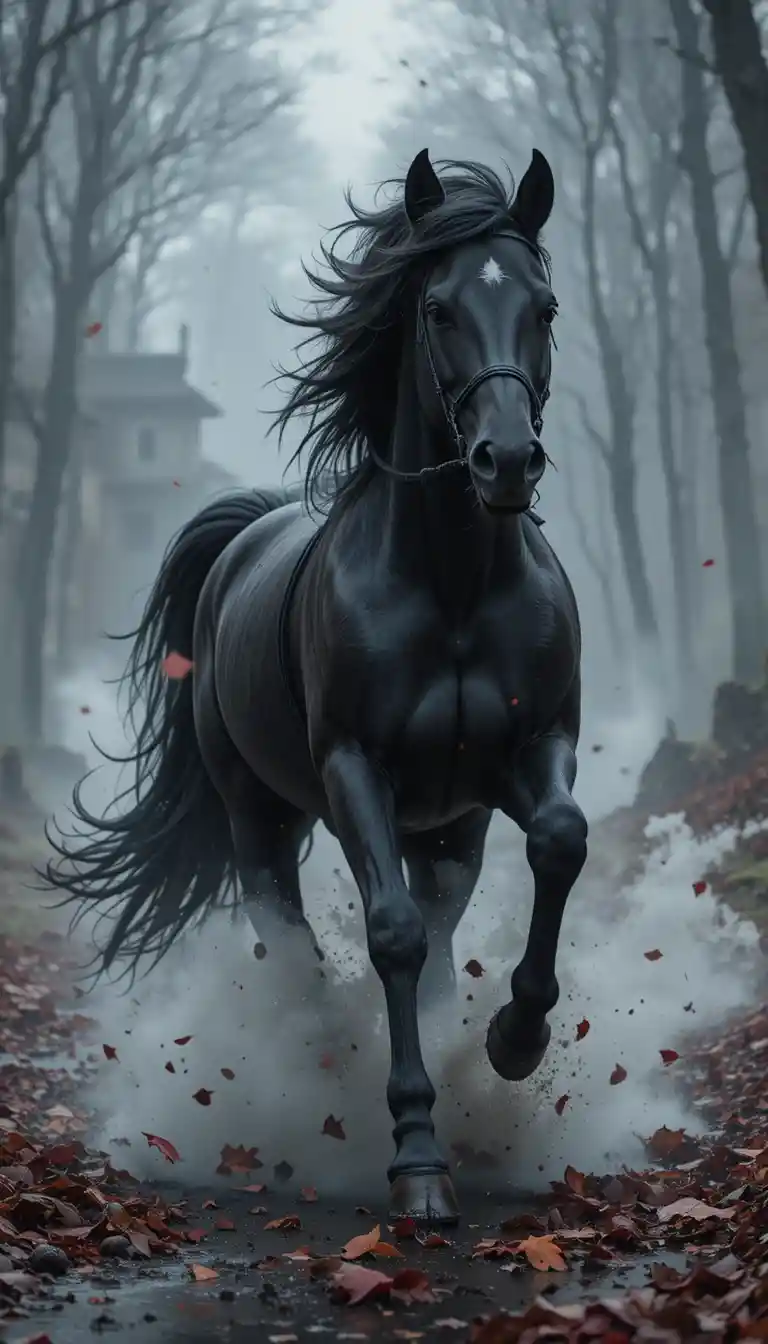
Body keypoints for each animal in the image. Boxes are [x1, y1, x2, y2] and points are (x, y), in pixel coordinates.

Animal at [43, 148, 587, 1226]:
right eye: (437, 309)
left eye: (543, 305)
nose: (507, 460)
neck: (453, 581)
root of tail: (246, 532)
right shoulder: (355, 772)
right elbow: (391, 935)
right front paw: (416, 1155)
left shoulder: (527, 754)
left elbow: (558, 841)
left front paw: (515, 1040)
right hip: (260, 812)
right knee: (287, 934)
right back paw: (323, 1053)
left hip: (450, 832)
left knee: (440, 922)